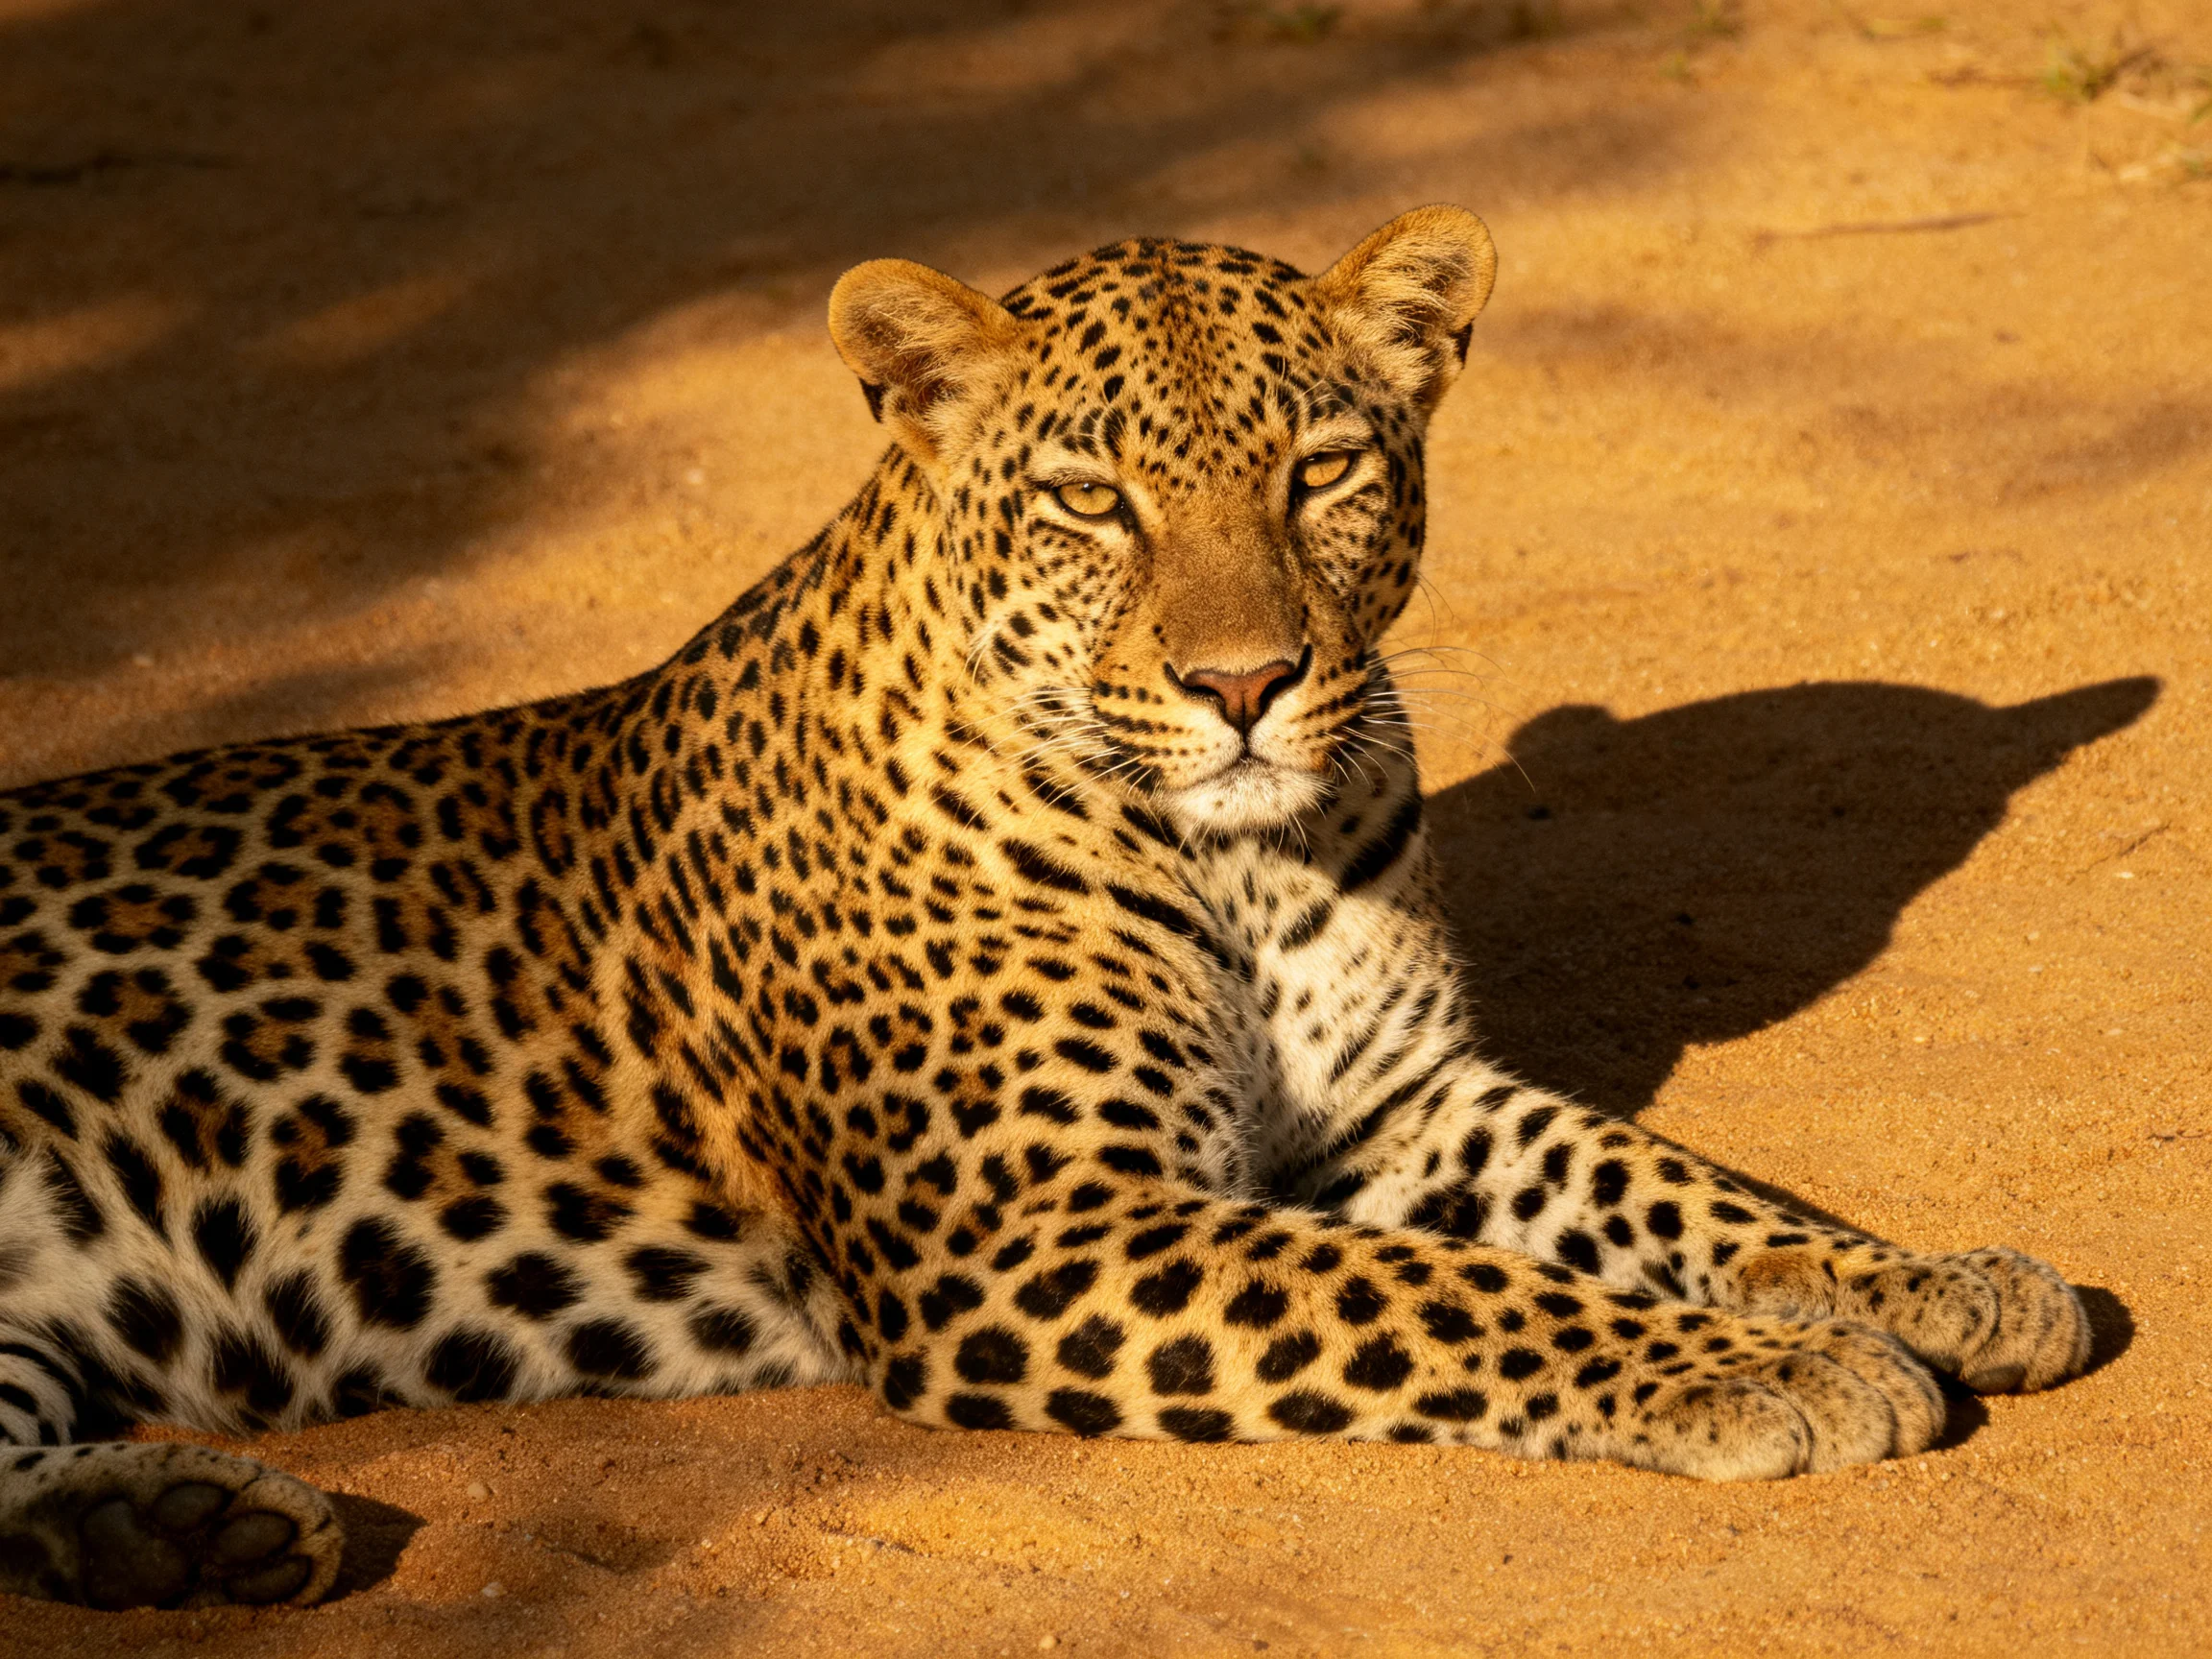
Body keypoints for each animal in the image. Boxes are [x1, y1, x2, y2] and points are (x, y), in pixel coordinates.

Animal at [0, 206, 2090, 1611]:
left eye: (1322, 469)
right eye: (1091, 500)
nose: (1244, 683)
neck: (1234, 856)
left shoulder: (1396, 1107)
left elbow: (1673, 1187)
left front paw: (1930, 1281)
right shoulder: (1031, 1225)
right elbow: (1449, 1292)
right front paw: (1773, 1370)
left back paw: (181, 1526)